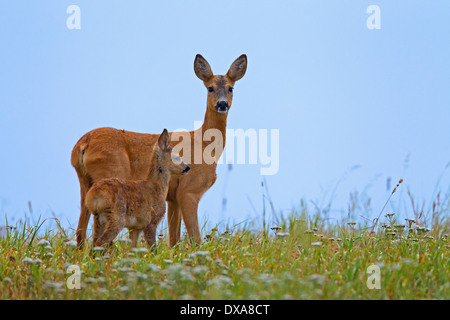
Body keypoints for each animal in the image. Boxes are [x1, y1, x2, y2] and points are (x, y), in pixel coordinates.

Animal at [71, 53, 248, 248]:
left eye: (231, 88)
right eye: (210, 88)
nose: (222, 104)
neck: (205, 145)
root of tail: (82, 145)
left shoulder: (172, 198)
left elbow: (174, 240)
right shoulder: (188, 191)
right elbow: (195, 239)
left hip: (85, 182)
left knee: (81, 231)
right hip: (111, 173)